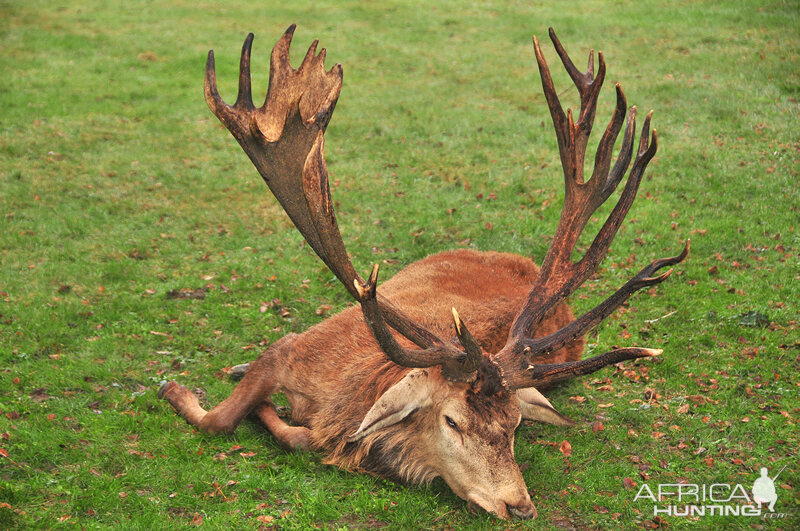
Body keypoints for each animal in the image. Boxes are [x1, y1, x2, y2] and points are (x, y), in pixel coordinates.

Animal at [159, 26, 692, 520]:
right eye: (452, 421)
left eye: (516, 423)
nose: (520, 505)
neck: (340, 400)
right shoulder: (293, 347)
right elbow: (220, 419)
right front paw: (175, 388)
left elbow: (292, 436)